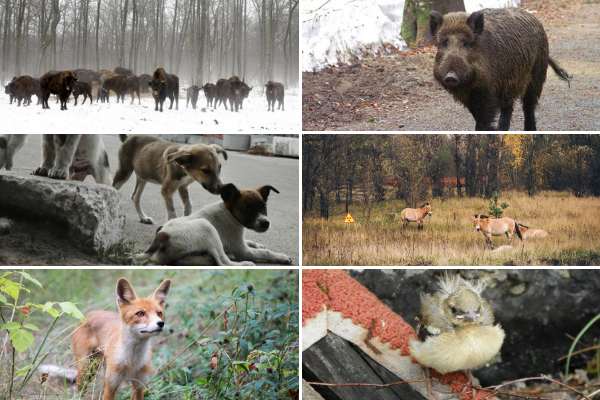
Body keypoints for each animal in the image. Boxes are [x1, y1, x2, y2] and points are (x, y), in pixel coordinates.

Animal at [137, 184, 296, 266]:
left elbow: (251, 242)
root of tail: (162, 235)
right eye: (246, 209)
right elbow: (265, 253)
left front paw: (258, 244)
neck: (229, 212)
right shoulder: (242, 250)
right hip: (206, 227)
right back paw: (245, 264)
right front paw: (281, 257)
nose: (265, 223)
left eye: (264, 206)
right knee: (224, 262)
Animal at [428, 7, 568, 130]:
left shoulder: (489, 91)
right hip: (510, 85)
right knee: (508, 108)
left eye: (466, 43)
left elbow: (484, 120)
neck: (470, 87)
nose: (451, 76)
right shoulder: (469, 98)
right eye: (444, 43)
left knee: (529, 106)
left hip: (537, 75)